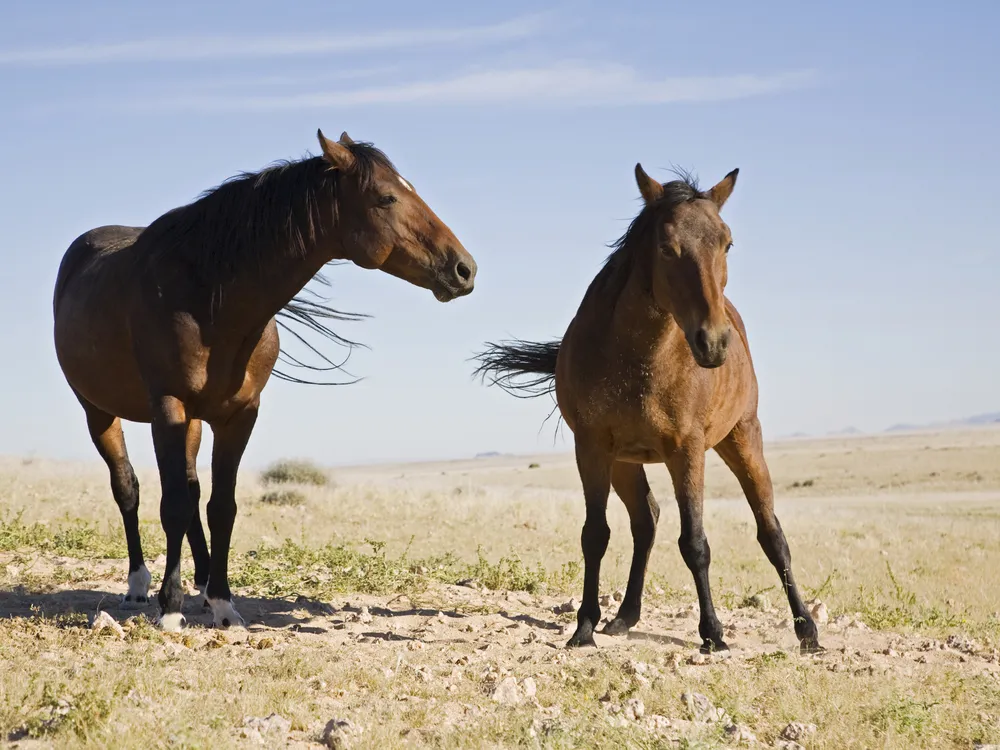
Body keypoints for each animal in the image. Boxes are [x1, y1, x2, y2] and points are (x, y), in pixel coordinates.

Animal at [53, 131, 476, 636]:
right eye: (387, 197)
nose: (464, 269)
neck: (209, 297)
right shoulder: (168, 406)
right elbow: (171, 504)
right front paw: (170, 608)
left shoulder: (239, 414)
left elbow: (220, 506)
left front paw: (222, 603)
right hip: (99, 412)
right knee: (128, 489)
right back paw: (139, 584)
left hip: (192, 422)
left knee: (192, 490)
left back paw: (200, 580)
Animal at [476, 163, 820, 652]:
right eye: (665, 246)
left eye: (727, 242)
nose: (713, 342)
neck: (637, 358)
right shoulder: (593, 448)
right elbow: (595, 535)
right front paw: (584, 627)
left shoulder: (687, 450)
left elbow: (695, 542)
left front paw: (713, 633)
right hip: (626, 462)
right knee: (647, 520)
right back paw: (624, 616)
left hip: (741, 438)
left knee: (771, 532)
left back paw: (806, 629)